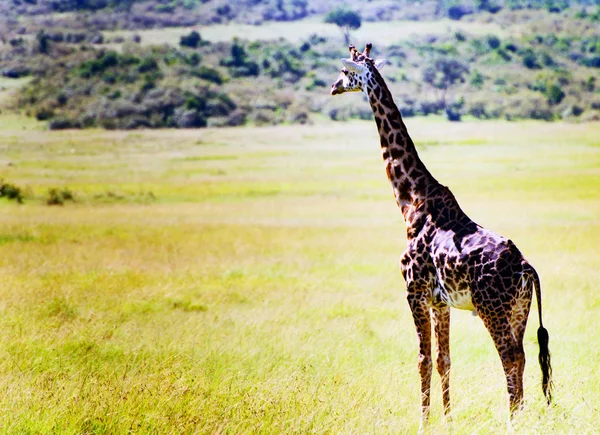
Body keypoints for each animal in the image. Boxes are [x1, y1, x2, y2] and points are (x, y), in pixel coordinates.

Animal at [330, 44, 552, 426]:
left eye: (345, 72)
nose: (333, 88)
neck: (411, 200)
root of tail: (526, 268)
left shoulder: (414, 292)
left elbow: (421, 360)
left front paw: (422, 422)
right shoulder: (440, 301)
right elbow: (443, 359)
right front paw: (447, 419)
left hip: (492, 308)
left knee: (509, 356)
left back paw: (512, 421)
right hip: (519, 309)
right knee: (522, 355)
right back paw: (519, 415)